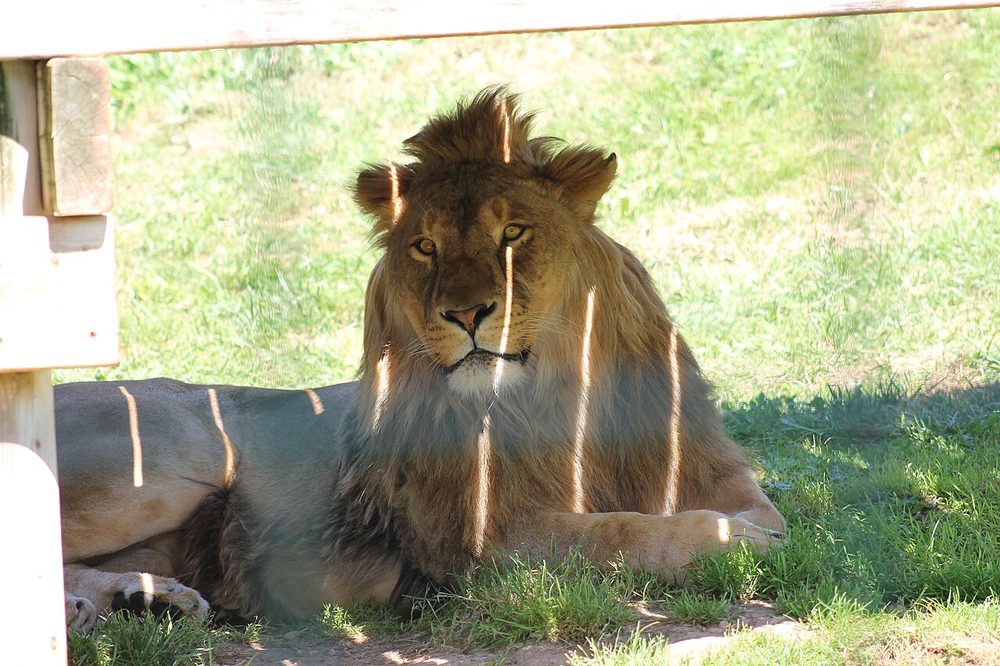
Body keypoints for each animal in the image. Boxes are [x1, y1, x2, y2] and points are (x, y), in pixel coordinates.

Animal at [58, 87, 784, 633]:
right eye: (426, 247)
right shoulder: (482, 539)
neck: (556, 393)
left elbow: (765, 510)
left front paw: (751, 530)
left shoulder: (699, 464)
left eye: (512, 233)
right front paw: (726, 543)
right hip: (173, 458)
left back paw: (139, 601)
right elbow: (615, 534)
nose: (465, 314)